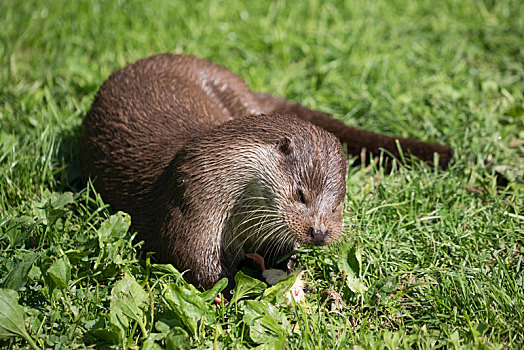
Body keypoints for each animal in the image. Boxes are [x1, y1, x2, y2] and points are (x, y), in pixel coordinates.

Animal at [81, 53, 450, 292]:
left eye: (338, 205)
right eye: (301, 194)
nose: (319, 233)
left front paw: (283, 267)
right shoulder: (189, 199)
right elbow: (193, 261)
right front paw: (237, 286)